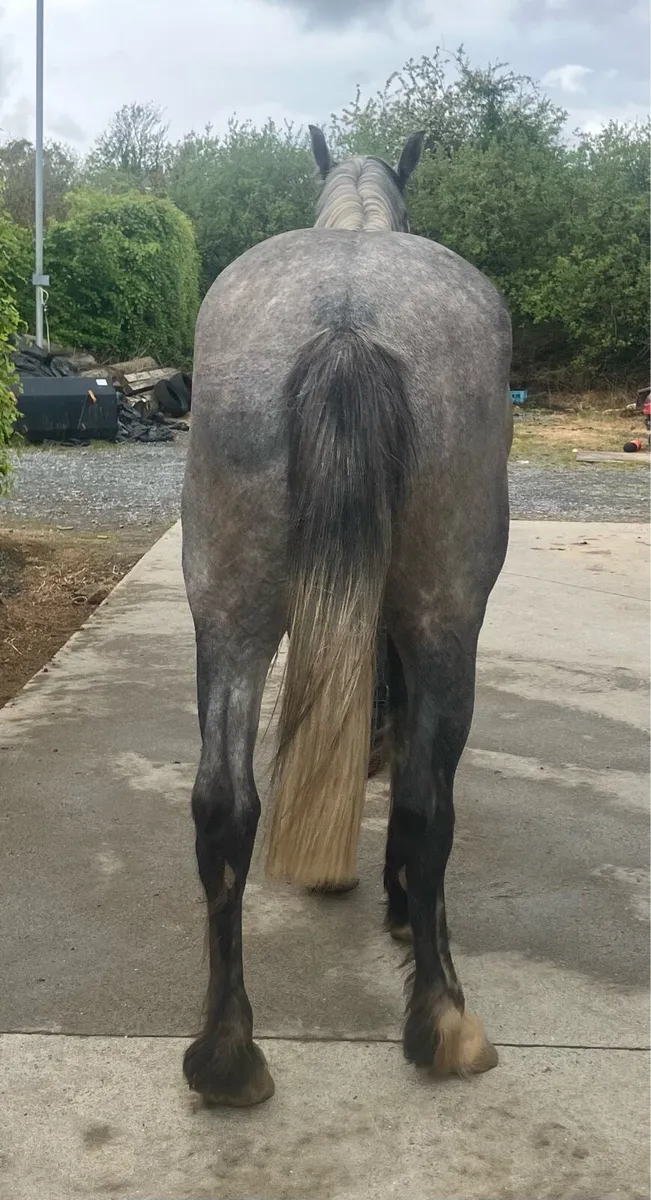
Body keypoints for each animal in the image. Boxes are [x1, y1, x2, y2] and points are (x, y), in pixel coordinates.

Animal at [181, 125, 513, 1106]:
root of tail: (346, 318)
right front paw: (402, 907)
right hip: (446, 616)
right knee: (426, 799)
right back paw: (442, 1021)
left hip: (229, 611)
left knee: (223, 804)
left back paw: (226, 1054)